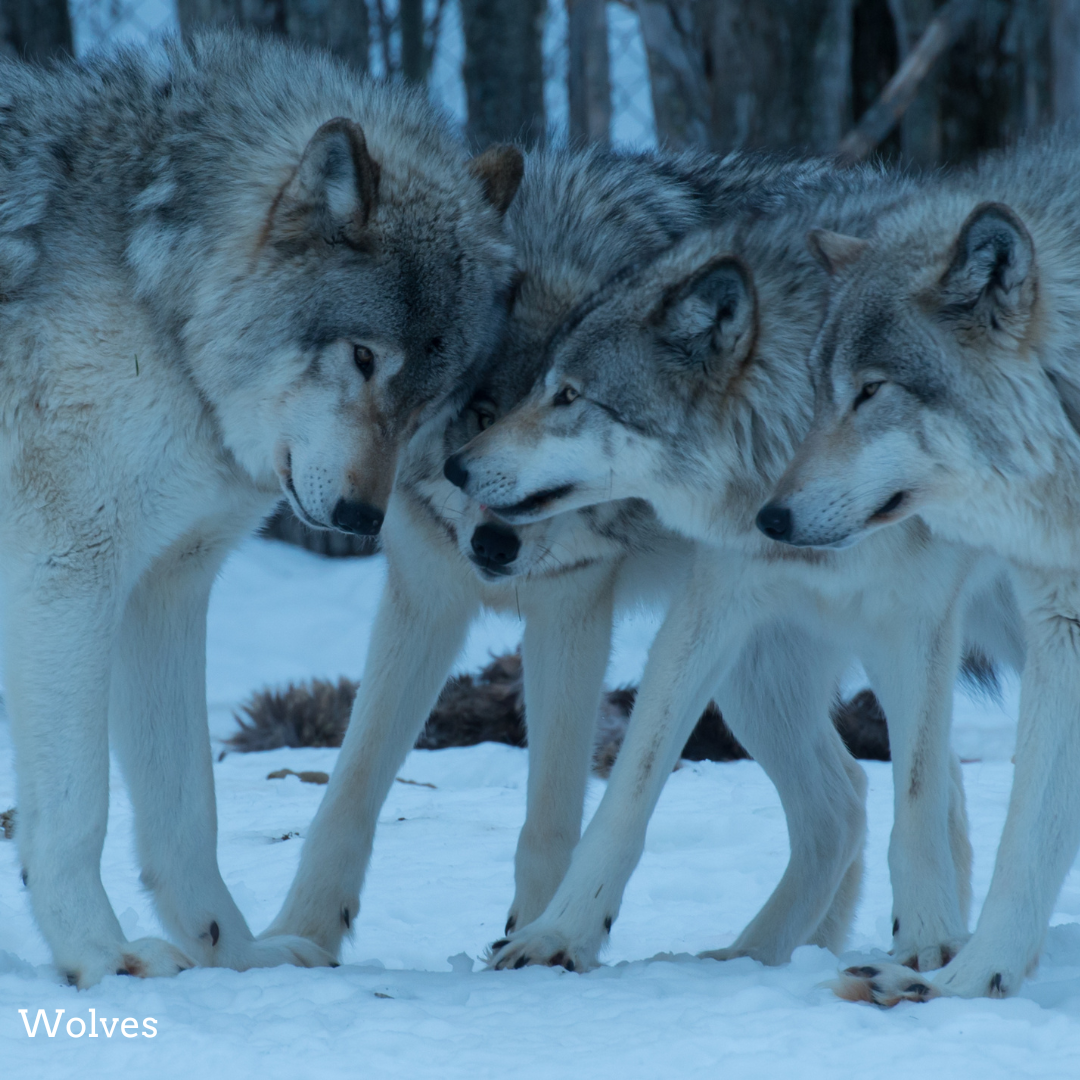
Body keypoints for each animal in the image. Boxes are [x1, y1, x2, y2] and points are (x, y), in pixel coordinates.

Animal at [0, 31, 522, 988]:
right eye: (363, 357)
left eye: (431, 395)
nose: (360, 519)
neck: (159, 305)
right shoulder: (66, 574)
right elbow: (77, 808)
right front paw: (101, 957)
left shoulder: (164, 589)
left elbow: (186, 812)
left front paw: (237, 958)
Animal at [262, 147, 899, 966]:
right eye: (479, 414)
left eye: (570, 416)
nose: (495, 544)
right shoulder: (424, 597)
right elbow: (351, 789)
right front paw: (299, 936)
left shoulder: (571, 608)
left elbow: (552, 814)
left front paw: (542, 937)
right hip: (750, 677)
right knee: (844, 799)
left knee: (846, 800)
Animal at [447, 176, 1024, 976]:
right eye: (541, 387)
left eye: (569, 397)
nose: (456, 465)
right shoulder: (709, 611)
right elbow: (627, 794)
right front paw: (559, 935)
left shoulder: (919, 622)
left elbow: (915, 802)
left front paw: (932, 944)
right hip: (762, 678)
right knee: (844, 800)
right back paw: (749, 957)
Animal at [759, 136, 1080, 1002]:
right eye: (820, 391)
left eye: (872, 391)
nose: (770, 518)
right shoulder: (1060, 623)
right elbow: (1028, 839)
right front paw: (966, 983)